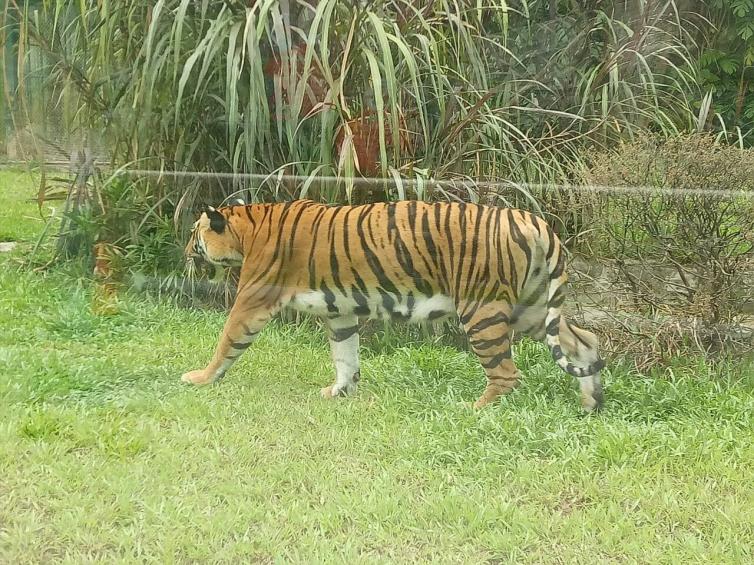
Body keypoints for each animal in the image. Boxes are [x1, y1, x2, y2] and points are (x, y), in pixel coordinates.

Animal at [182, 197, 604, 410]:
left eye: (194, 232)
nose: (185, 249)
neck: (248, 226)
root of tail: (534, 221)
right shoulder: (340, 311)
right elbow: (346, 356)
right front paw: (339, 392)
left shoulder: (253, 298)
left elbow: (227, 340)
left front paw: (200, 378)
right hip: (530, 307)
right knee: (584, 340)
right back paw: (592, 402)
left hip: (483, 309)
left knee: (506, 373)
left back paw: (474, 409)